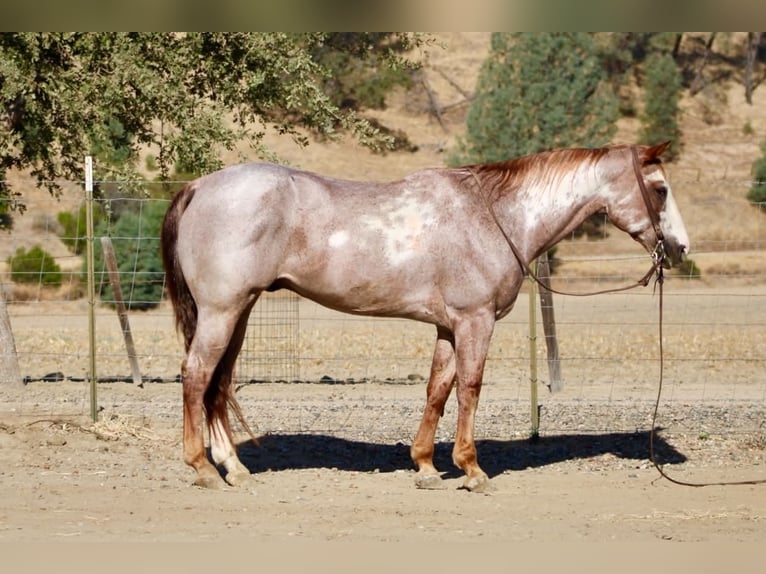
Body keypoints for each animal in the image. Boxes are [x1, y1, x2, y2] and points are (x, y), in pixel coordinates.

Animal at [160, 141, 689, 492]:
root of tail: (199, 186)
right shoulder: (476, 321)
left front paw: (427, 467)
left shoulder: (447, 327)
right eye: (661, 189)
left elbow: (438, 389)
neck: (493, 216)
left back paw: (234, 467)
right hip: (222, 311)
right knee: (197, 375)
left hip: (239, 312)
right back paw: (202, 468)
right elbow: (470, 388)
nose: (681, 248)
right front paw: (472, 469)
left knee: (219, 383)